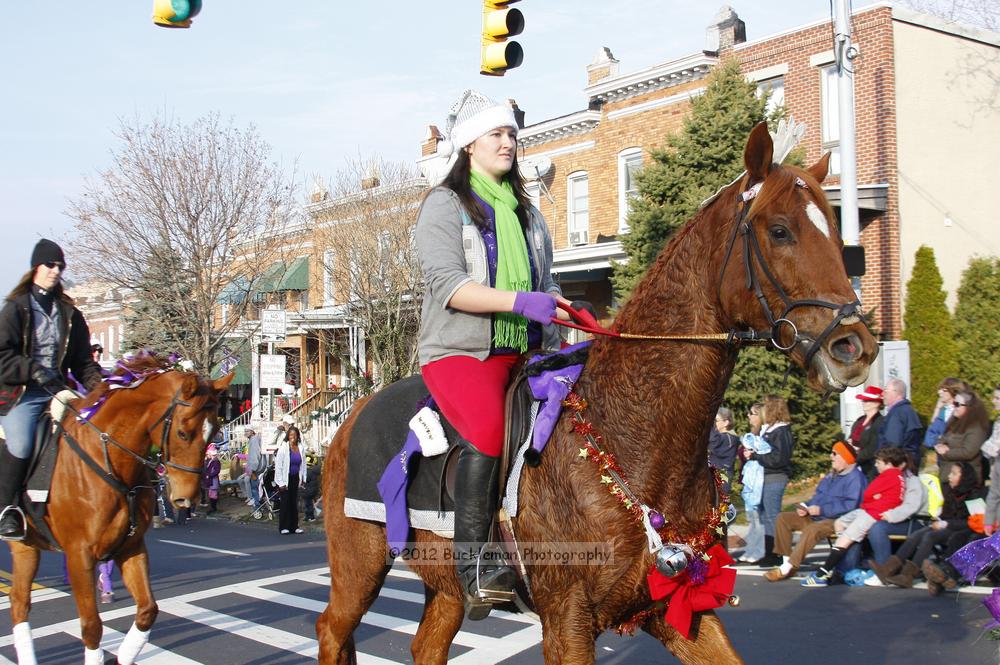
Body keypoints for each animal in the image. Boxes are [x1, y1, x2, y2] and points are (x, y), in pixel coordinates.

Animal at [4, 356, 230, 660]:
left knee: (18, 602)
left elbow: (147, 610)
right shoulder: (79, 555)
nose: (187, 500)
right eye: (183, 432)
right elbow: (91, 627)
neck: (111, 462)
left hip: (26, 546)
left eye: (214, 432)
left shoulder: (131, 547)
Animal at [316, 122, 880, 660]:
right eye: (780, 230)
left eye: (836, 231)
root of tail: (352, 414)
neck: (630, 434)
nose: (854, 346)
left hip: (446, 586)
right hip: (359, 564)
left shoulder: (676, 607)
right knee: (330, 631)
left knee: (425, 646)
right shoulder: (567, 618)